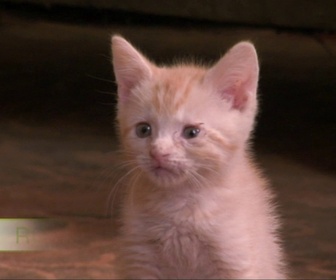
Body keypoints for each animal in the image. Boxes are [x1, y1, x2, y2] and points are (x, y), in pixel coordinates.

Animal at [111, 36, 286, 278]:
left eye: (191, 132)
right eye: (143, 130)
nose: (158, 152)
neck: (179, 207)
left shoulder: (236, 258)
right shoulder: (140, 257)